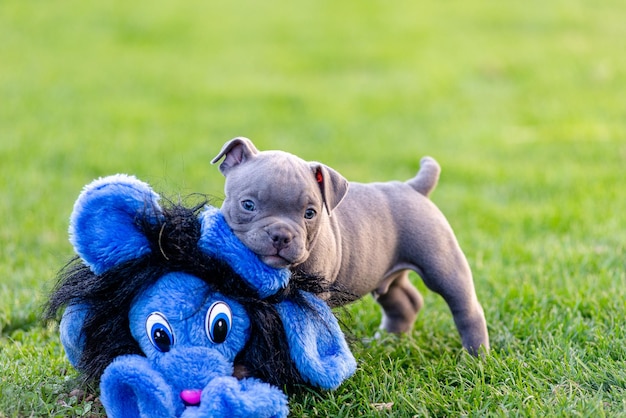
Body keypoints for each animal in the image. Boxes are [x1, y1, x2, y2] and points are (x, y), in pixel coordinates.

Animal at [213, 139, 488, 354]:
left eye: (310, 213)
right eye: (248, 205)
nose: (281, 235)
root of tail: (415, 187)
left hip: (442, 265)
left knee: (465, 308)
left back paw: (474, 357)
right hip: (385, 274)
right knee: (405, 301)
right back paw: (387, 340)